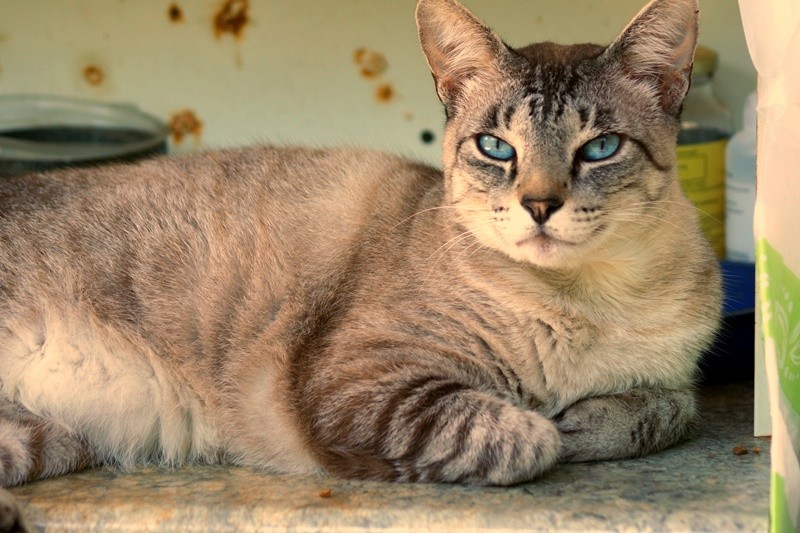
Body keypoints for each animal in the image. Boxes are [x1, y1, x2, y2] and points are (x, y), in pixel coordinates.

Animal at [0, 0, 716, 502]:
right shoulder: (363, 380)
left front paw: (590, 418)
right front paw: (552, 425)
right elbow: (527, 436)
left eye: (600, 148)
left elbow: (669, 409)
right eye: (496, 148)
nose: (540, 206)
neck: (586, 303)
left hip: (37, 440)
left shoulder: (673, 378)